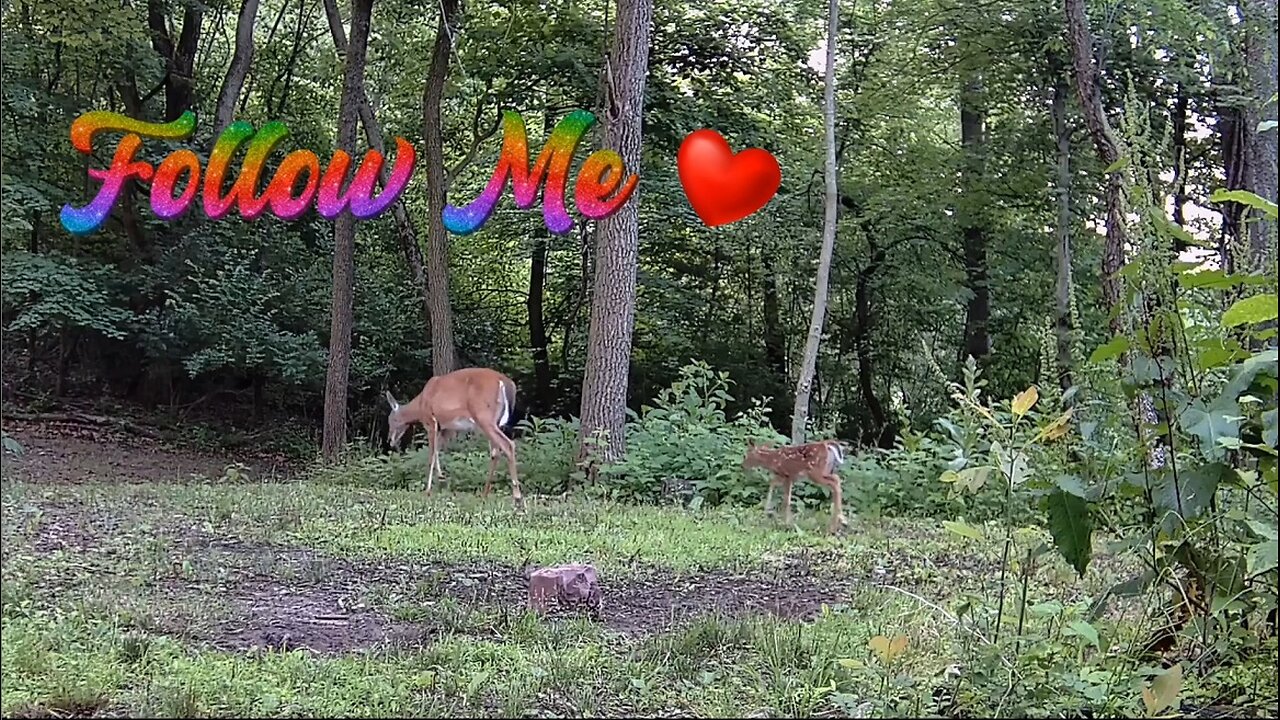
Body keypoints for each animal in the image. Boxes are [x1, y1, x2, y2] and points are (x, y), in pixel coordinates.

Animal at [381, 366, 522, 507]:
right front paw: (441, 480)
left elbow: (430, 456)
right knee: (495, 452)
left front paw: (427, 490)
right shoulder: (446, 428)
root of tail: (507, 383)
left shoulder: (430, 422)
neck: (421, 403)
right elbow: (437, 452)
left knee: (507, 445)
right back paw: (485, 494)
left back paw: (517, 497)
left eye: (392, 420)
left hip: (484, 416)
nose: (389, 440)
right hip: (494, 422)